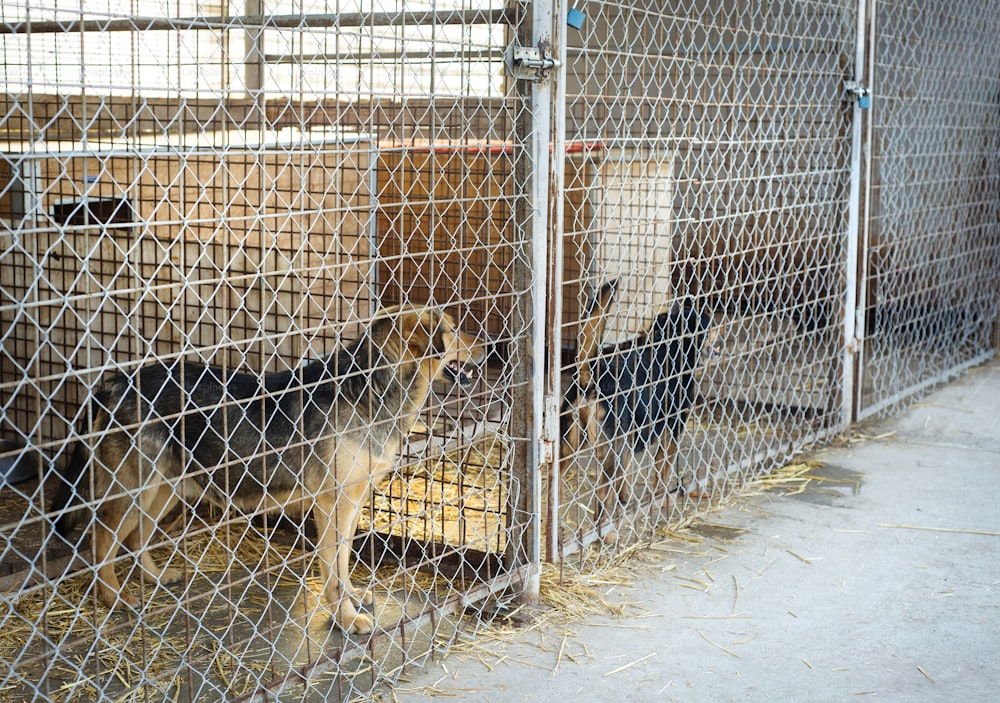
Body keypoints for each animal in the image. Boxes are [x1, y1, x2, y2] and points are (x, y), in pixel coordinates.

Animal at [564, 280, 720, 528]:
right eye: (710, 324)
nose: (720, 326)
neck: (668, 346)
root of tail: (592, 377)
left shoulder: (630, 437)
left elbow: (626, 477)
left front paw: (626, 499)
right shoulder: (672, 428)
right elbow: (662, 466)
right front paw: (661, 499)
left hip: (567, 446)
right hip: (611, 452)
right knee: (601, 494)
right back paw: (604, 530)